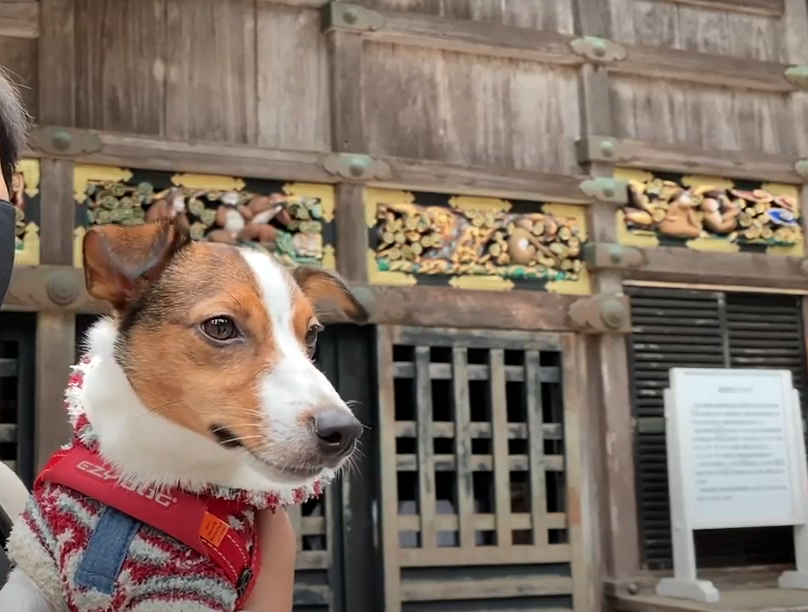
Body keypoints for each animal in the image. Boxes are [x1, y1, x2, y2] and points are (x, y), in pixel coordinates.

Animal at [0, 220, 366, 612]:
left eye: (311, 335)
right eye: (220, 326)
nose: (344, 431)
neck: (151, 473)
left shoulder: (185, 590)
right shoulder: (36, 563)